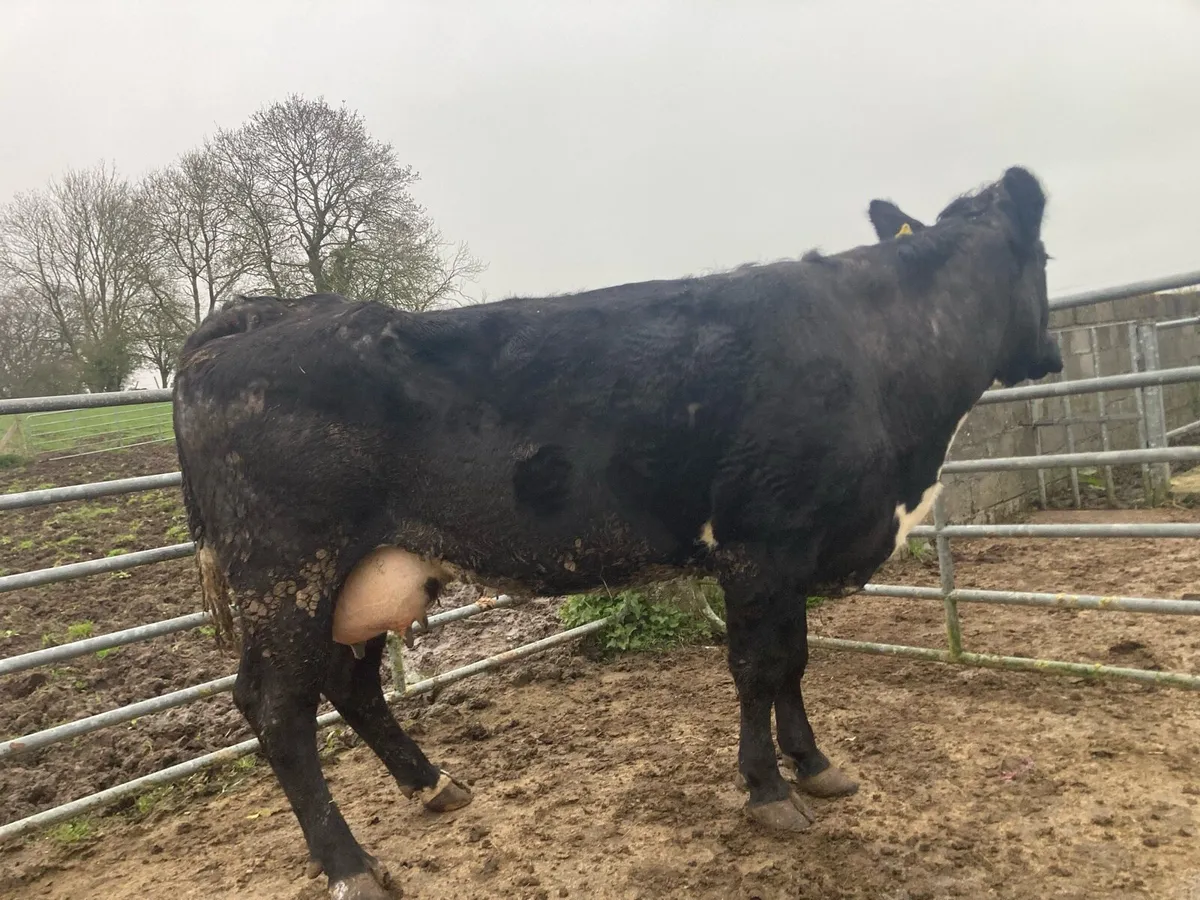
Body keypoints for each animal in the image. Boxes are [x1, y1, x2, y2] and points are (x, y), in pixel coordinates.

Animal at [173, 166, 1062, 900]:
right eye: (1047, 259)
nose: (1052, 355)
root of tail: (268, 311)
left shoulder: (792, 549)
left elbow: (796, 660)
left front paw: (814, 764)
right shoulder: (758, 543)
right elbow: (759, 667)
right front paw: (768, 789)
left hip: (365, 571)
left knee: (347, 685)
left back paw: (436, 785)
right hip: (287, 570)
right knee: (278, 708)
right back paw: (351, 866)